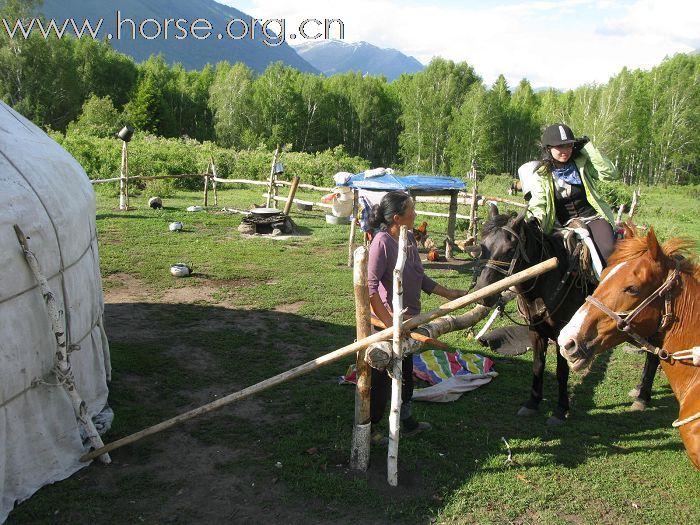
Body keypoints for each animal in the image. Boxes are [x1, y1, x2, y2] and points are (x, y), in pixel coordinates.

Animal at [470, 207, 656, 424]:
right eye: (483, 246)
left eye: (509, 249)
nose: (483, 294)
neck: (548, 280)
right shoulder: (536, 331)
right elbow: (538, 365)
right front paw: (532, 403)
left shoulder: (563, 334)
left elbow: (561, 372)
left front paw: (560, 410)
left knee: (653, 355)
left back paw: (642, 397)